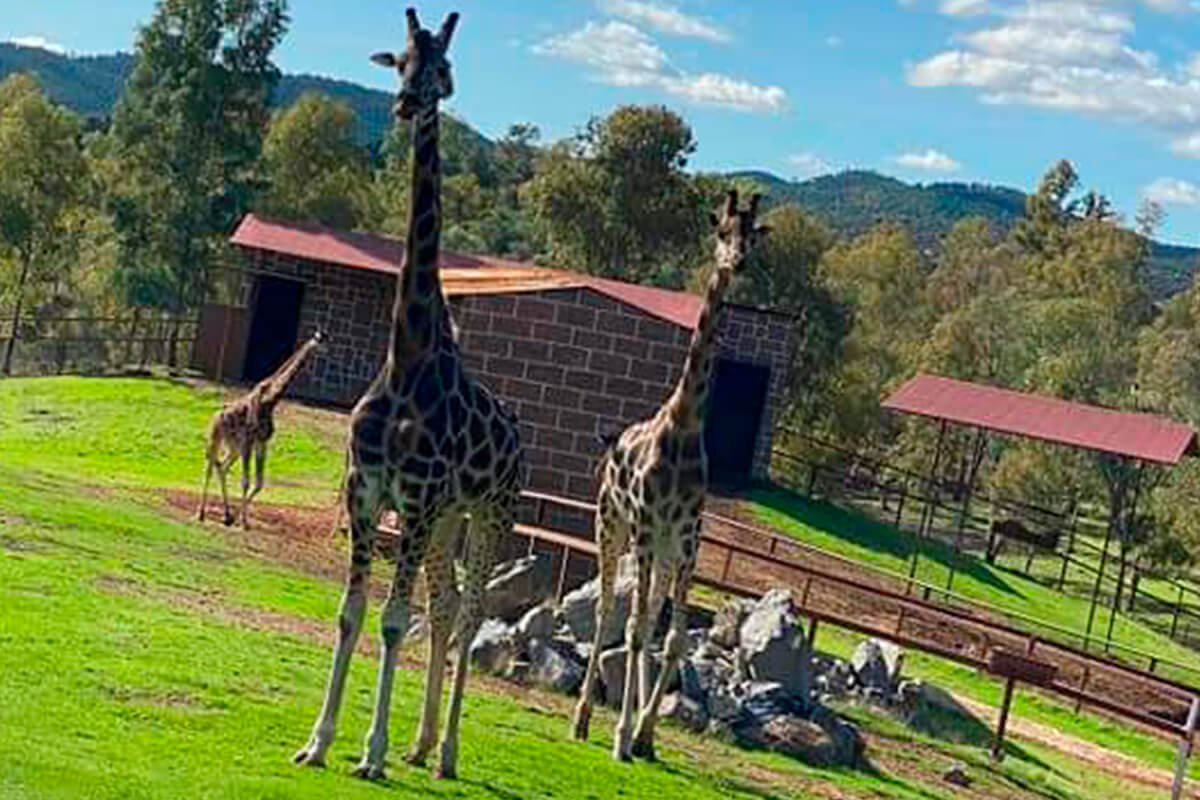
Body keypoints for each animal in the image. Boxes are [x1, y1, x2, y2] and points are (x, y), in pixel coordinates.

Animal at [199, 331, 326, 532]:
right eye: (320, 340)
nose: (326, 352)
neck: (270, 401)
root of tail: (216, 416)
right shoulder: (249, 441)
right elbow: (246, 481)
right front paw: (243, 522)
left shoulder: (262, 442)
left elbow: (259, 483)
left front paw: (238, 519)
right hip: (216, 438)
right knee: (210, 468)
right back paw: (201, 514)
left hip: (233, 446)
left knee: (222, 467)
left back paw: (226, 515)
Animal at [292, 7, 523, 782]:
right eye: (398, 63)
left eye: (442, 68)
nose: (405, 103)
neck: (408, 357)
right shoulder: (368, 494)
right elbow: (352, 613)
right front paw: (319, 740)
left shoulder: (415, 502)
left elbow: (393, 621)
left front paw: (370, 753)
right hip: (448, 519)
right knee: (446, 605)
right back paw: (423, 745)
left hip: (490, 512)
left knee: (473, 610)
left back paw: (446, 751)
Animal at [571, 189, 768, 762]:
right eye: (721, 231)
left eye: (752, 237)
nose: (735, 262)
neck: (684, 422)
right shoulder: (643, 527)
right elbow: (636, 630)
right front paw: (621, 736)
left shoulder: (686, 540)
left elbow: (674, 638)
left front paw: (646, 734)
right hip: (611, 527)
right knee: (610, 610)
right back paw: (583, 719)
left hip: (658, 550)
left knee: (650, 615)